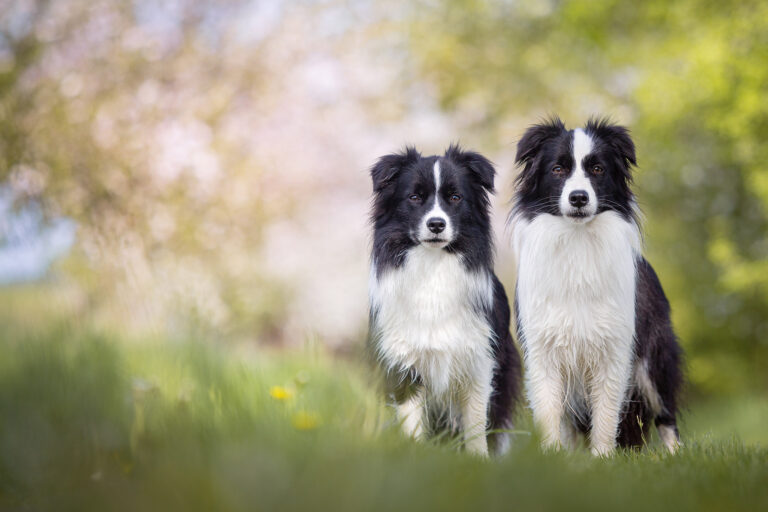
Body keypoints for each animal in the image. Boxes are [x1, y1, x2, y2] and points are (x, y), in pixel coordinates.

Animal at [366, 144, 520, 456]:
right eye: (414, 197)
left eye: (455, 197)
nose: (436, 224)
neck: (433, 264)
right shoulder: (403, 361)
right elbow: (411, 420)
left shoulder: (479, 359)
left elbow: (475, 424)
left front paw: (478, 459)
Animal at [510, 119, 684, 456]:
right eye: (558, 169)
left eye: (598, 169)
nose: (578, 198)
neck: (577, 240)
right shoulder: (543, 348)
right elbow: (550, 412)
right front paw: (553, 457)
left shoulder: (613, 348)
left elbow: (605, 414)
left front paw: (603, 458)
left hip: (654, 362)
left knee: (666, 415)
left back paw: (676, 454)